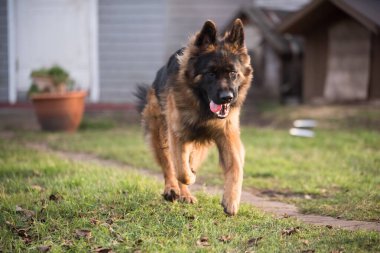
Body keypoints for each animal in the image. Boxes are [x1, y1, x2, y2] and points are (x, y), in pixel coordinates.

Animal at [137, 18, 252, 215]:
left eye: (233, 73)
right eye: (211, 73)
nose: (227, 97)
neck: (202, 107)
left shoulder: (227, 135)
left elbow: (236, 166)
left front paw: (231, 201)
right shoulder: (177, 135)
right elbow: (181, 170)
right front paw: (189, 178)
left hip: (199, 146)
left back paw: (185, 193)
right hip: (160, 133)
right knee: (170, 166)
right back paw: (173, 190)